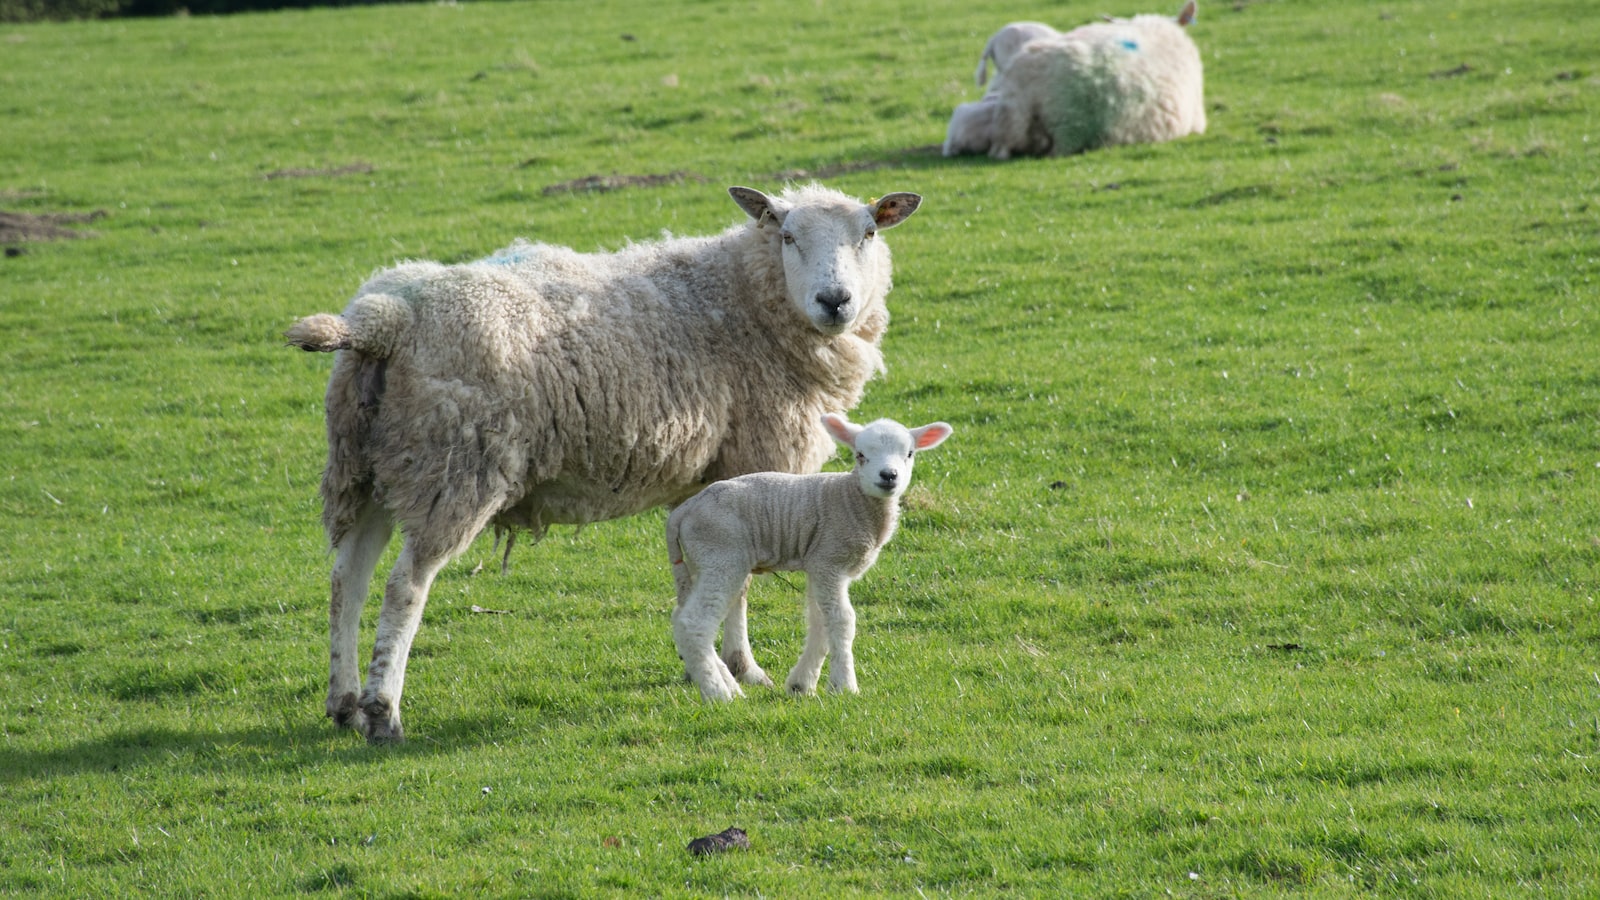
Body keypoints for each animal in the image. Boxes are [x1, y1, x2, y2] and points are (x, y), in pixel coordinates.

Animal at [662, 409, 947, 698]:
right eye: (860, 454)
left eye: (909, 453)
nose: (888, 475)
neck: (850, 497)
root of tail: (684, 510)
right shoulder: (830, 558)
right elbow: (843, 620)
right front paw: (845, 686)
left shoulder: (819, 564)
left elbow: (820, 622)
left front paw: (802, 683)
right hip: (722, 554)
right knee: (693, 623)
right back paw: (719, 693)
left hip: (700, 561)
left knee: (680, 618)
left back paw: (727, 683)